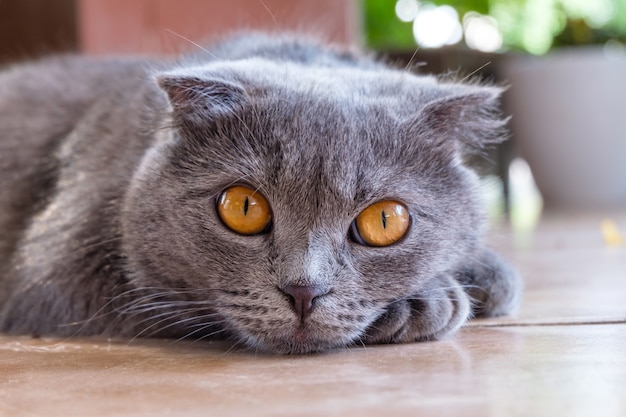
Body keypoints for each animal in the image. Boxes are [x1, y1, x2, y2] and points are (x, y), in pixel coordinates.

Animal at [0, 32, 516, 352]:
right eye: (244, 208)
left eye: (385, 220)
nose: (304, 291)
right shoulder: (58, 276)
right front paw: (429, 302)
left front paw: (483, 275)